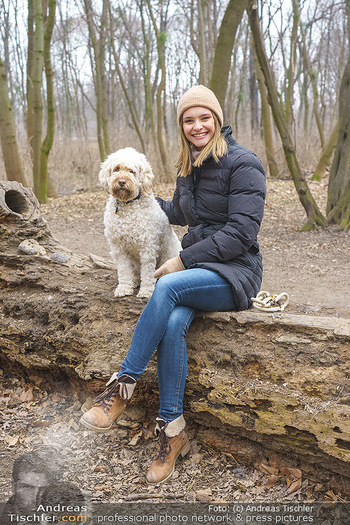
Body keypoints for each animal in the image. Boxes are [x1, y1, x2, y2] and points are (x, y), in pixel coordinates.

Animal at [98, 147, 180, 296]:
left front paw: (146, 291)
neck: (127, 204)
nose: (122, 181)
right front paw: (124, 287)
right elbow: (124, 270)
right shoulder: (119, 248)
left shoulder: (147, 246)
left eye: (132, 171)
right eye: (116, 169)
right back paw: (135, 280)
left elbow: (147, 272)